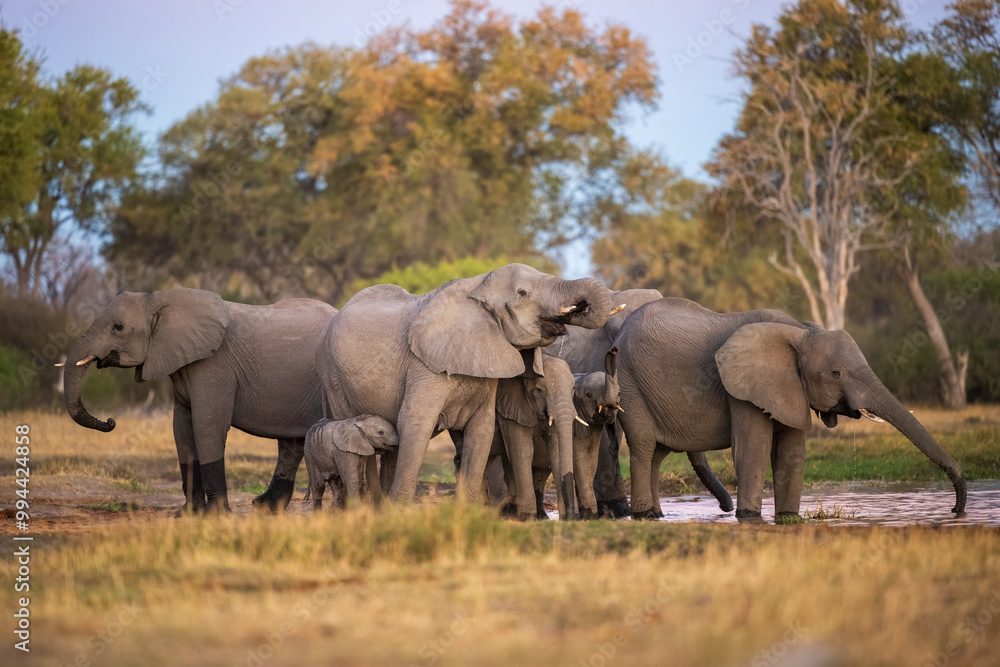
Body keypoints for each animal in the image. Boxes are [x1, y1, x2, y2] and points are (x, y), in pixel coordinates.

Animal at [61, 288, 338, 513]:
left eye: (118, 327)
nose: (110, 421)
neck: (157, 299)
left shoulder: (214, 366)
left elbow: (207, 425)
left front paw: (214, 514)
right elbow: (181, 428)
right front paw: (187, 514)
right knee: (291, 444)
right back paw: (264, 506)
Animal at [317, 263, 613, 507]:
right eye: (523, 292)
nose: (579, 307)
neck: (478, 287)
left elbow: (481, 429)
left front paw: (468, 512)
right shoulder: (423, 365)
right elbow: (416, 422)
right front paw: (397, 512)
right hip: (333, 376)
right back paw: (371, 507)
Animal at [612, 297, 967, 522]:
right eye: (836, 373)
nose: (955, 511)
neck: (802, 332)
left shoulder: (789, 388)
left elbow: (791, 455)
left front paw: (787, 518)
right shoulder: (742, 388)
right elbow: (752, 450)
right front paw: (749, 518)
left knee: (657, 454)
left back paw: (656, 515)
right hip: (628, 379)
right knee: (643, 447)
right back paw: (644, 515)